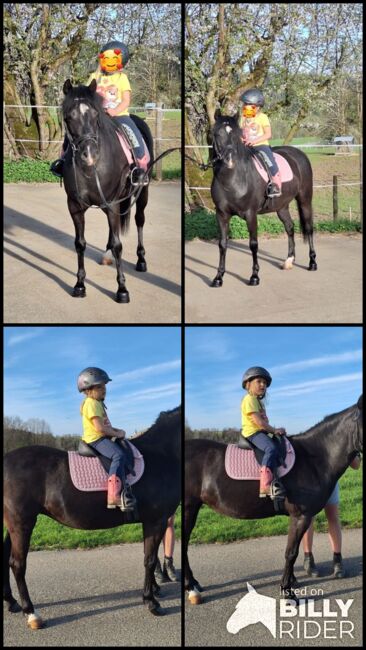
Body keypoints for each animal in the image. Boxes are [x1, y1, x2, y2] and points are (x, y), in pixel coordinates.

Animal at [2, 404, 180, 624]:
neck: (161, 454)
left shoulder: (151, 522)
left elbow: (149, 556)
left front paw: (154, 590)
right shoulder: (157, 521)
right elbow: (149, 559)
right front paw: (151, 601)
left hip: (13, 524)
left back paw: (11, 601)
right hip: (22, 523)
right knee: (17, 564)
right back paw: (31, 612)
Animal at [61, 79, 153, 302]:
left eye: (96, 115)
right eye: (69, 117)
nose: (89, 154)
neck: (92, 169)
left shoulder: (112, 203)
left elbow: (119, 244)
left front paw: (122, 289)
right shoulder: (75, 206)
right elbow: (80, 243)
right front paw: (79, 285)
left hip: (142, 194)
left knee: (139, 220)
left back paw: (141, 260)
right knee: (113, 233)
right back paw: (107, 254)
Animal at [184, 394, 362, 604]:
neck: (314, 458)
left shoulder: (299, 516)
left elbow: (293, 550)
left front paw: (291, 582)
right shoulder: (301, 516)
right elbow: (291, 553)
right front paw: (287, 592)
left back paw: (193, 584)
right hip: (188, 507)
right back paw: (191, 588)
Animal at [209, 111, 318, 286]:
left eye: (237, 135)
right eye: (217, 134)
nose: (230, 161)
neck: (233, 180)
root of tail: (298, 154)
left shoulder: (250, 214)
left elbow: (253, 244)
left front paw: (254, 276)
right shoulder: (221, 215)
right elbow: (222, 244)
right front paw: (218, 277)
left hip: (305, 200)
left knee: (308, 228)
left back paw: (312, 263)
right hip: (282, 206)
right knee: (290, 227)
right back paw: (289, 261)